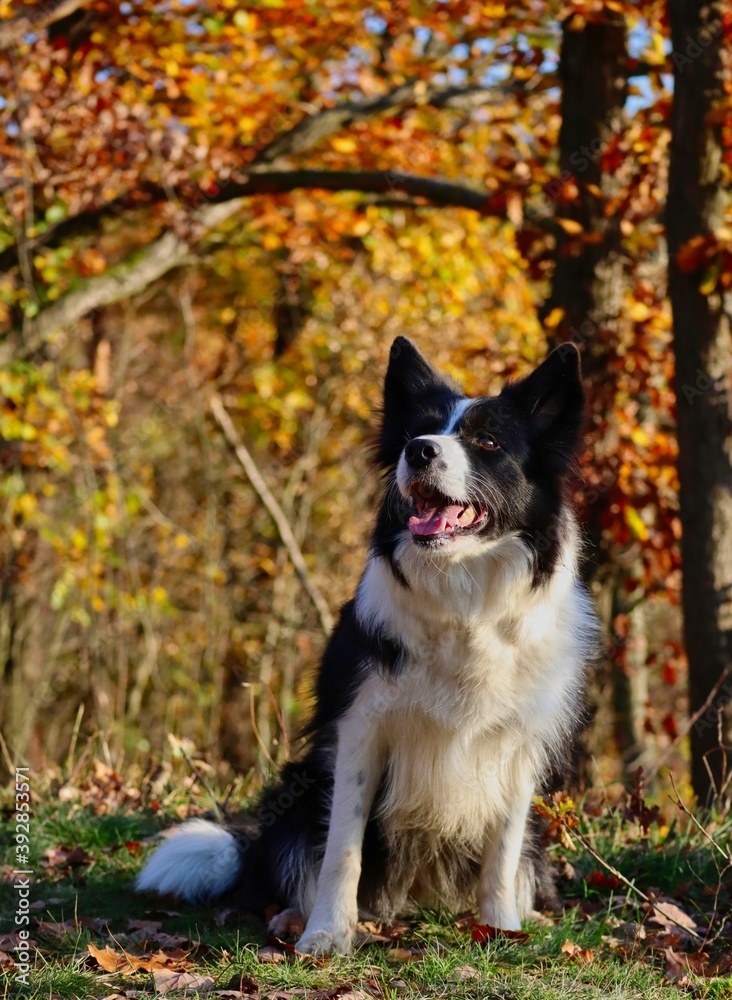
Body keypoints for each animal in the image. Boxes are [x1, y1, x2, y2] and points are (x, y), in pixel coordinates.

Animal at [136, 340, 596, 956]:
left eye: (488, 442)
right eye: (418, 431)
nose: (419, 451)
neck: (463, 599)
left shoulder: (519, 744)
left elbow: (501, 852)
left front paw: (501, 931)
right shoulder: (361, 729)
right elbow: (342, 850)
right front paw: (327, 934)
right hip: (301, 790)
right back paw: (293, 916)